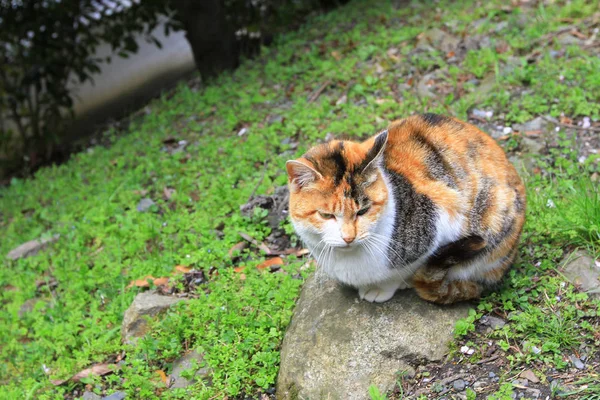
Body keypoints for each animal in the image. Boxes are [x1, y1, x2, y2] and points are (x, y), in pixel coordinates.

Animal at [286, 114, 524, 304]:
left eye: (363, 210)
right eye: (326, 215)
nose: (348, 237)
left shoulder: (441, 216)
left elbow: (405, 271)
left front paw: (383, 288)